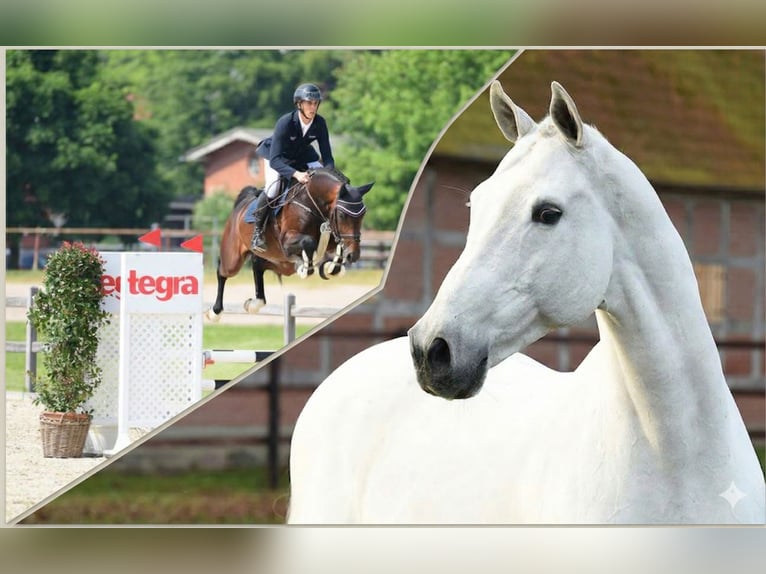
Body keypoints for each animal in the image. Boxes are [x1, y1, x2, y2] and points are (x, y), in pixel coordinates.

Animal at [206, 167, 374, 321]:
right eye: (342, 215)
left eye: (363, 214)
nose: (354, 255)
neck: (312, 202)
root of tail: (241, 205)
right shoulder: (287, 241)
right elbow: (309, 242)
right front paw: (306, 267)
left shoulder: (333, 236)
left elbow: (338, 246)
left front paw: (333, 267)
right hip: (233, 258)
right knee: (222, 272)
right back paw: (214, 312)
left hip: (280, 263)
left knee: (257, 265)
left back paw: (254, 303)